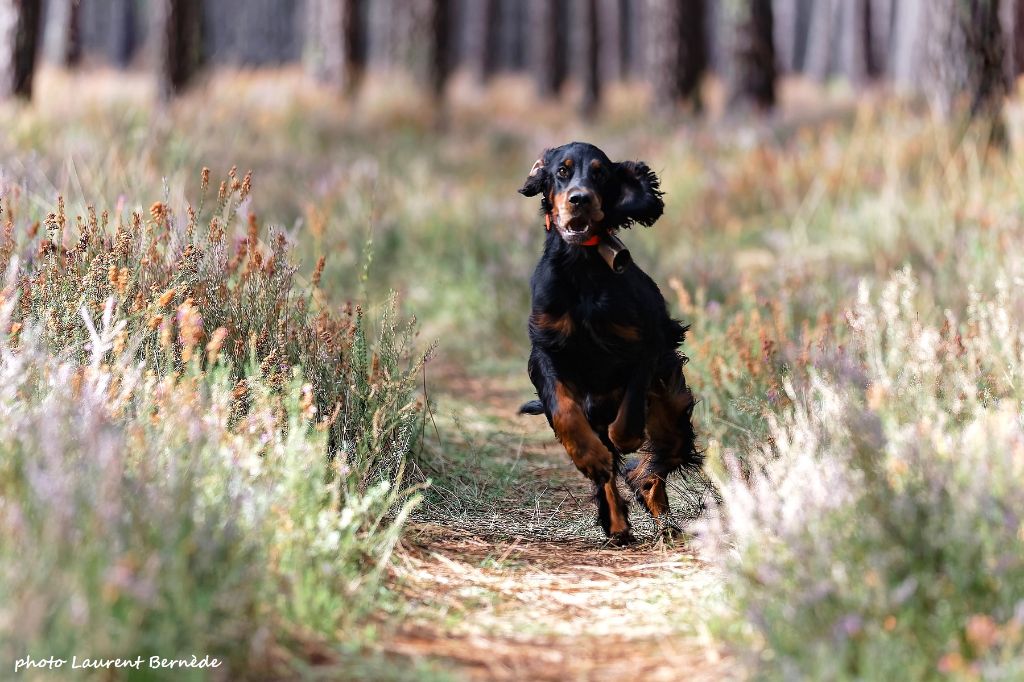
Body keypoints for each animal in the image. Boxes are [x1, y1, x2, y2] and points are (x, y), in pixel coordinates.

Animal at [516, 142, 700, 540]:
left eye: (600, 174)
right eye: (562, 171)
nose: (579, 199)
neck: (581, 266)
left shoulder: (645, 346)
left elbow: (629, 411)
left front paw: (625, 437)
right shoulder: (546, 349)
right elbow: (564, 410)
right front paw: (590, 457)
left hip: (671, 409)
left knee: (649, 466)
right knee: (618, 474)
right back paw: (616, 522)